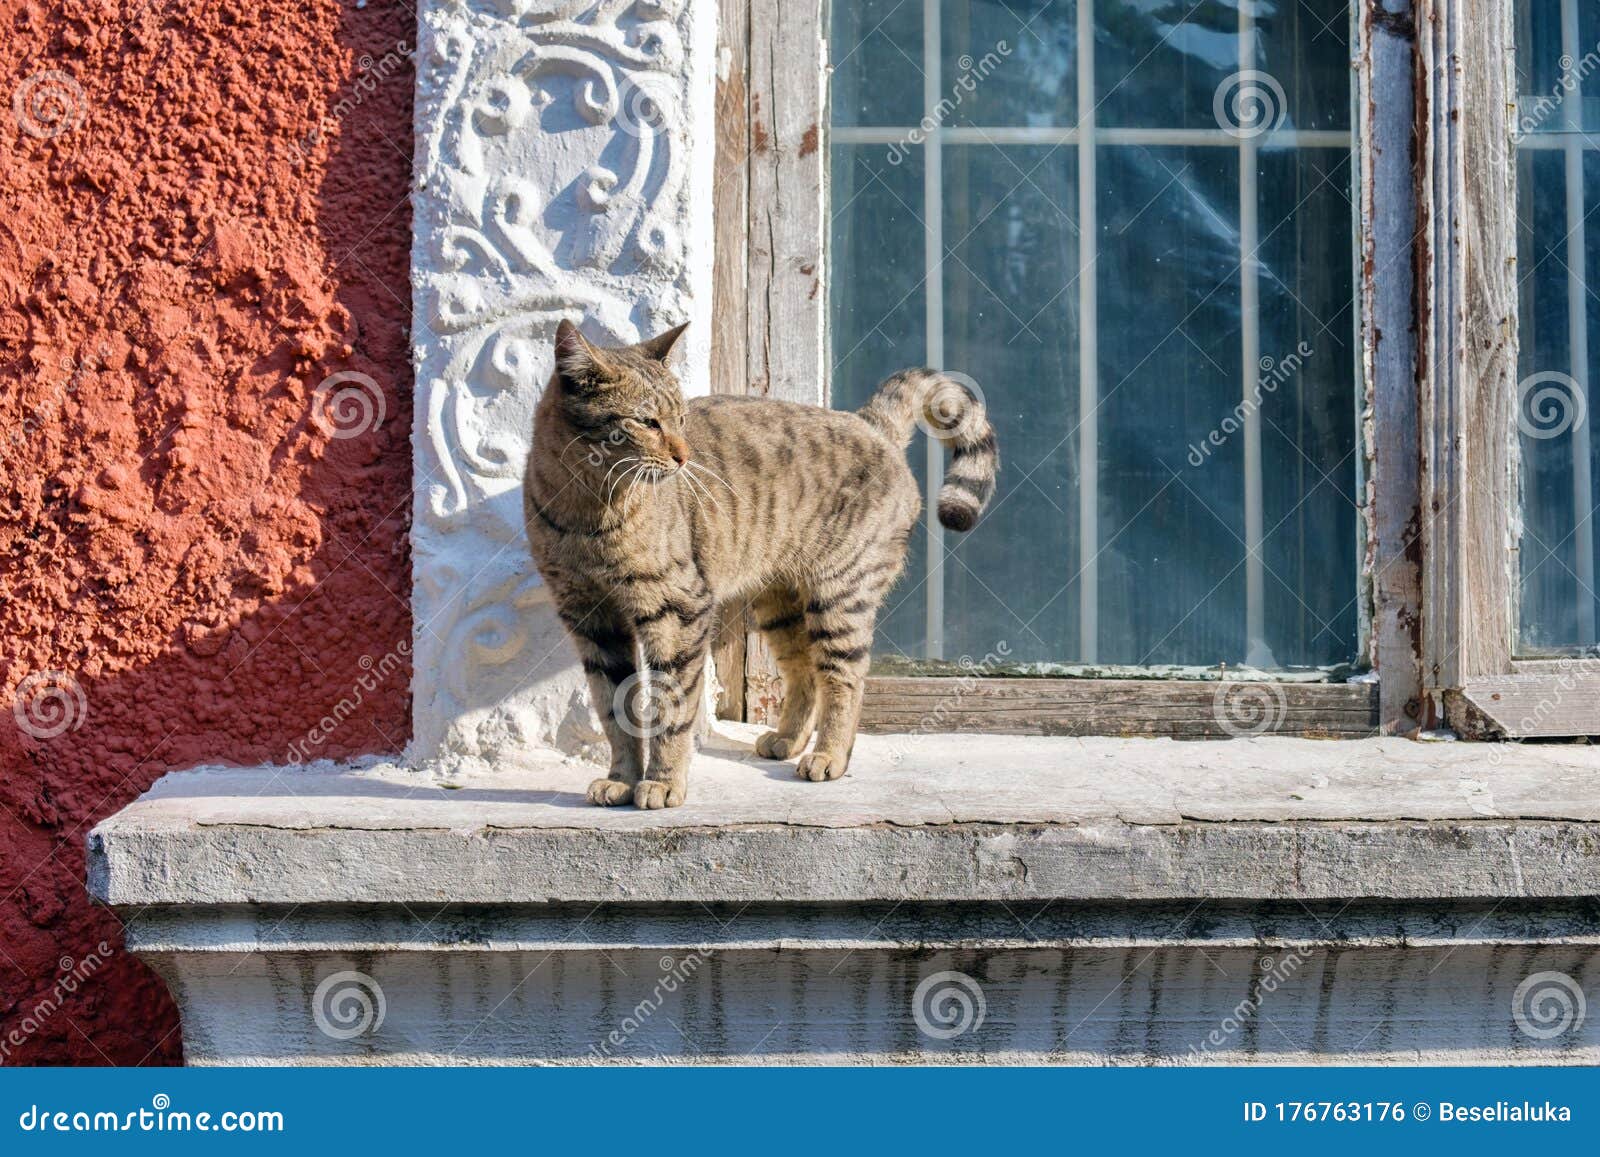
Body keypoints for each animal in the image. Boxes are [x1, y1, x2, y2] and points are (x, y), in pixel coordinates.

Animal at [528, 316, 998, 806]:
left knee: (846, 679)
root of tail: (870, 423)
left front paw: (662, 781)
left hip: (841, 596)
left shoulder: (677, 610)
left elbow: (671, 708)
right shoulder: (591, 619)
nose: (684, 455)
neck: (588, 511)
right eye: (646, 421)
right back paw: (787, 740)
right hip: (779, 604)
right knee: (805, 671)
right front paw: (621, 778)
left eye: (681, 419)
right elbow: (614, 712)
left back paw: (829, 755)